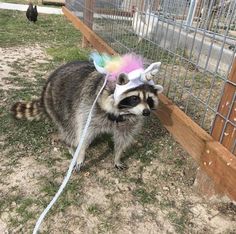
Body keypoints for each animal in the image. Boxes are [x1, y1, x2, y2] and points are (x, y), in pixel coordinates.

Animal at [11, 58, 162, 169]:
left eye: (149, 99)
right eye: (135, 98)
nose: (146, 112)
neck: (120, 113)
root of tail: (46, 87)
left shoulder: (128, 121)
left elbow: (123, 138)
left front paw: (117, 156)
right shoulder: (89, 108)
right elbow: (83, 134)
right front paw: (81, 154)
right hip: (58, 105)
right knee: (70, 129)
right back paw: (71, 147)